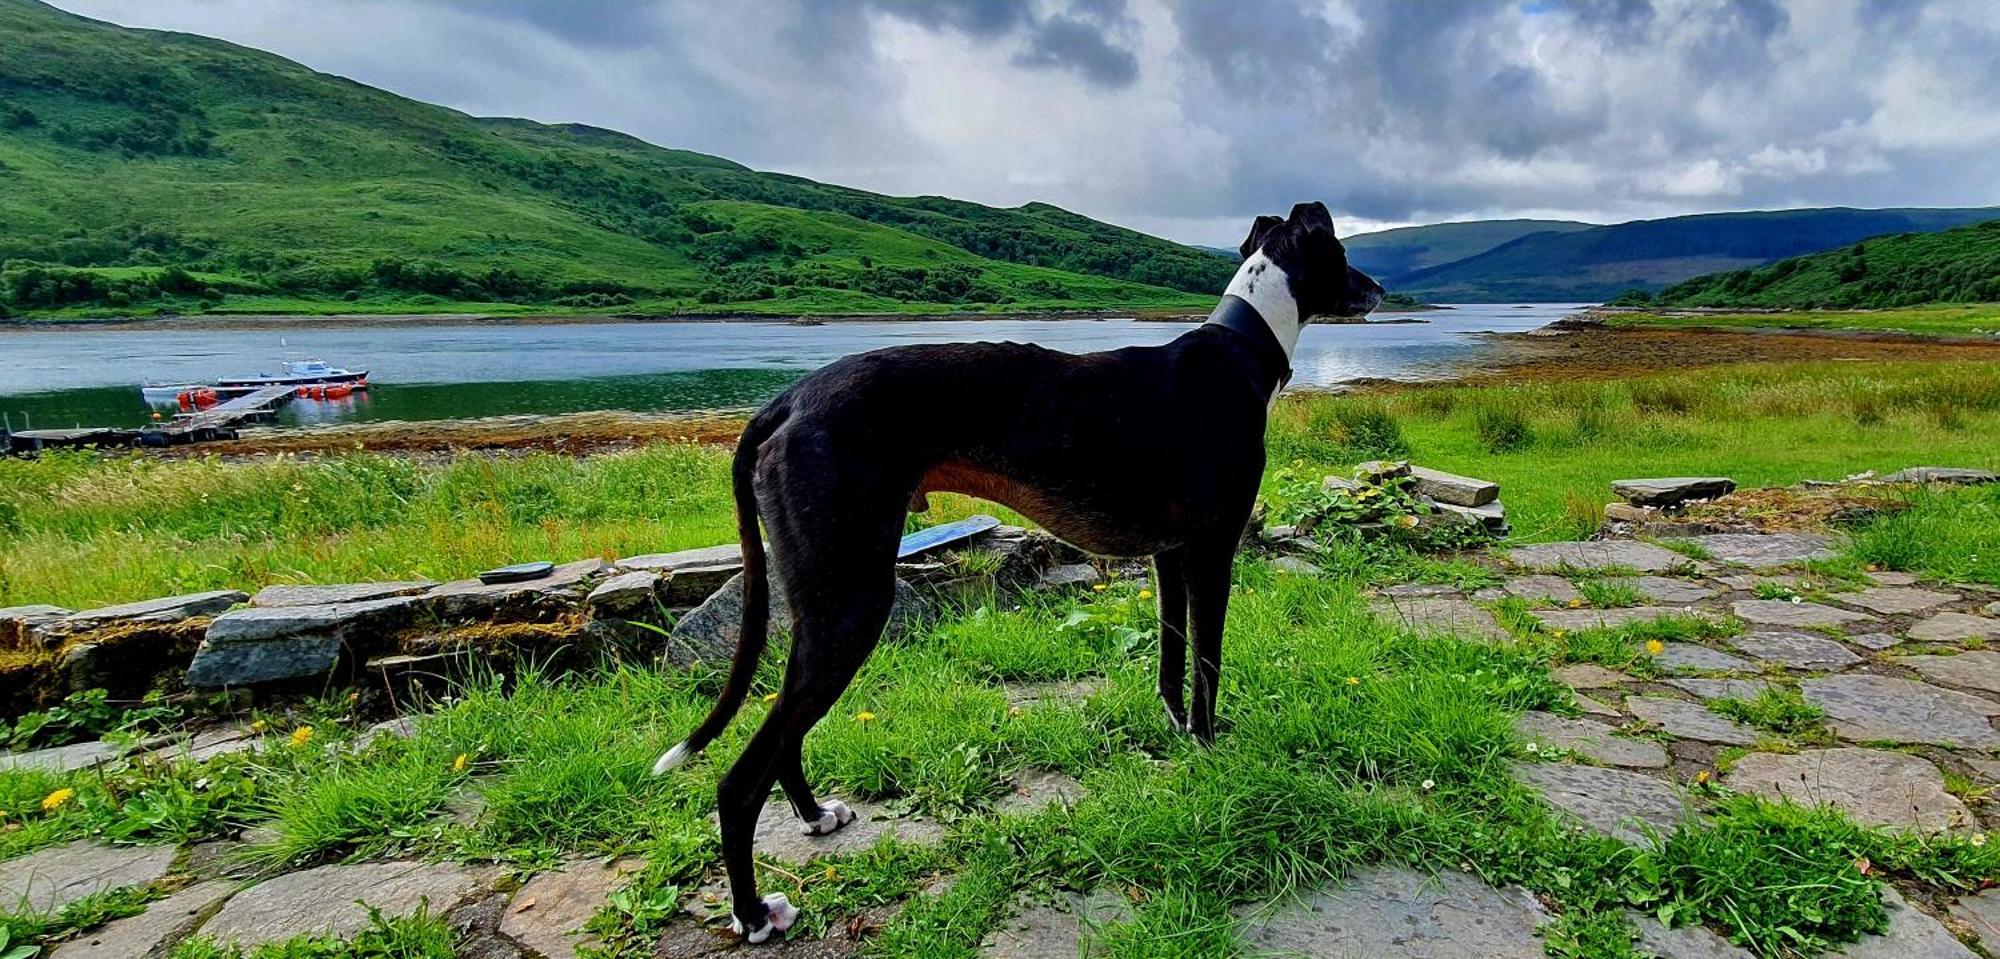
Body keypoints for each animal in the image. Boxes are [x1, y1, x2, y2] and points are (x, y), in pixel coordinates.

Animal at [652, 198, 1376, 939]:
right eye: (1345, 254)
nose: (1377, 290)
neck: (1238, 352)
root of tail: (787, 400)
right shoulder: (1211, 554)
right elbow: (1208, 668)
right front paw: (1210, 753)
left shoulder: (1170, 557)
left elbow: (1172, 665)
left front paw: (1177, 734)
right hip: (853, 603)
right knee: (740, 778)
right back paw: (752, 912)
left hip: (822, 604)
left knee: (784, 731)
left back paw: (815, 814)